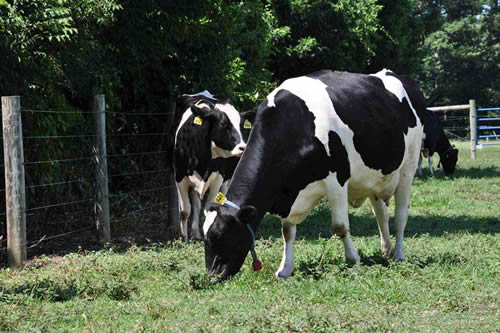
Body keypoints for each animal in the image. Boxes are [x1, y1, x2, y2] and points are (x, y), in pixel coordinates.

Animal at [174, 92, 256, 240]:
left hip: (227, 179)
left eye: (241, 125)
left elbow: (209, 208)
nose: (242, 147)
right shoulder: (179, 176)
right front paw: (184, 239)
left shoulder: (218, 178)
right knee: (195, 205)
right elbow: (184, 211)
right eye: (224, 124)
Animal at [202, 68, 426, 278]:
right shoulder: (290, 190)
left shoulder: (337, 179)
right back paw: (386, 251)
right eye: (205, 237)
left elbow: (340, 226)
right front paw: (285, 269)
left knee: (400, 215)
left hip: (408, 167)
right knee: (381, 214)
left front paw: (353, 259)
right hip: (375, 178)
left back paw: (398, 254)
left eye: (220, 235)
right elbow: (287, 231)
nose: (213, 275)